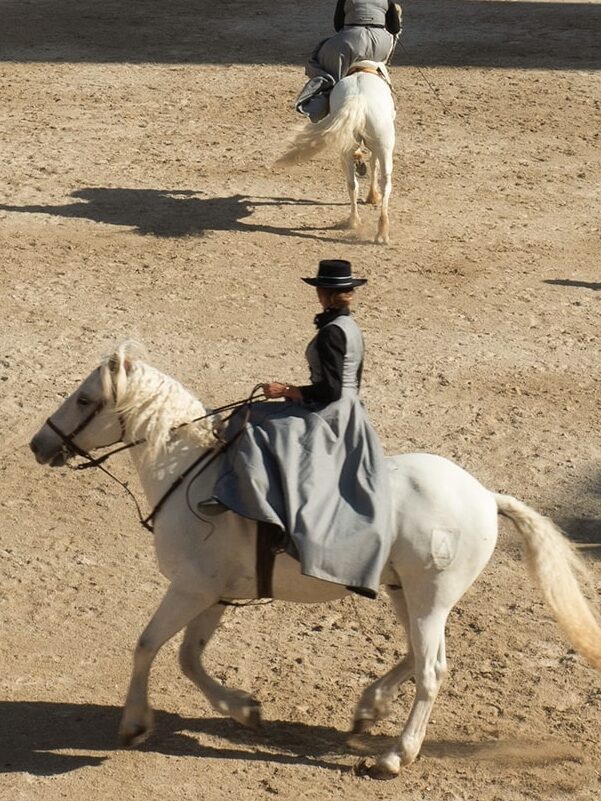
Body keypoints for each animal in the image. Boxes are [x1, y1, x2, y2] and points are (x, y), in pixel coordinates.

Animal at [31, 340, 600, 780]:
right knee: (419, 656)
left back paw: (395, 756)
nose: (38, 445)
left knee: (432, 669)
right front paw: (244, 710)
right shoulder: (214, 594)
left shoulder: (190, 589)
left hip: (429, 599)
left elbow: (147, 644)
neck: (190, 474)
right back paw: (369, 709)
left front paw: (134, 724)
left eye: (85, 398)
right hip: (406, 594)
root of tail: (485, 495)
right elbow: (188, 657)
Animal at [276, 61, 394, 244]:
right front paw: (372, 197)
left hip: (352, 149)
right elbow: (373, 166)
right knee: (383, 184)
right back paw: (376, 229)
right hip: (384, 147)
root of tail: (359, 100)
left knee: (353, 184)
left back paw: (360, 223)